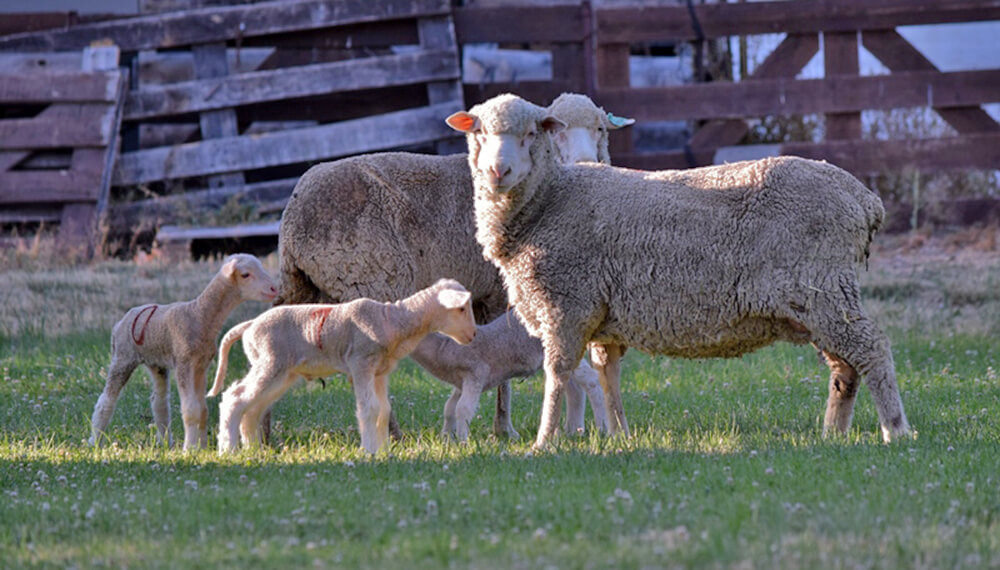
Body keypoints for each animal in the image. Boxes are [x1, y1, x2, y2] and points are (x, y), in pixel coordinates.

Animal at [89, 253, 278, 448]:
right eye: (245, 274)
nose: (274, 288)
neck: (198, 316)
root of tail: (122, 320)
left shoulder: (201, 366)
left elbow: (203, 410)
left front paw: (202, 447)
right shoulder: (184, 362)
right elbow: (191, 410)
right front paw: (190, 448)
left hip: (156, 362)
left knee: (159, 402)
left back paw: (166, 442)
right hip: (123, 357)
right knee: (105, 401)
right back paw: (95, 441)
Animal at [207, 276, 476, 452]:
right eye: (462, 308)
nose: (473, 335)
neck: (391, 321)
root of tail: (249, 324)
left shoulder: (380, 371)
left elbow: (383, 410)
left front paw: (384, 450)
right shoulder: (360, 364)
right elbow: (368, 408)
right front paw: (369, 451)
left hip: (282, 372)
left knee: (252, 408)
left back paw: (253, 449)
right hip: (270, 362)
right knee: (235, 398)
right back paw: (228, 449)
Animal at [406, 308, 608, 442]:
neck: (444, 349)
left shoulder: (476, 373)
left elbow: (463, 409)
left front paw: (462, 441)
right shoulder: (461, 383)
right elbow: (449, 408)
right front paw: (446, 437)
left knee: (591, 380)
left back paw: (602, 428)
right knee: (576, 387)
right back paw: (575, 430)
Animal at [448, 93, 916, 448]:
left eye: (531, 134)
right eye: (480, 133)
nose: (498, 171)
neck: (548, 202)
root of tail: (863, 199)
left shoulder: (567, 305)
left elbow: (558, 375)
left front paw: (544, 442)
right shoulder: (601, 316)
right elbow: (607, 375)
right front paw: (619, 437)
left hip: (823, 286)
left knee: (872, 349)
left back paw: (895, 430)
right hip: (816, 299)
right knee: (844, 367)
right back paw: (833, 434)